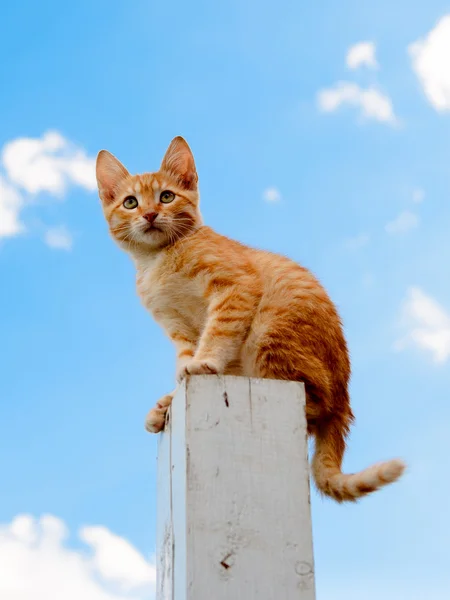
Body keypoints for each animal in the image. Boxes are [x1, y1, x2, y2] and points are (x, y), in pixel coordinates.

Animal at [96, 136, 406, 502]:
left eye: (167, 196)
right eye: (130, 203)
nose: (149, 214)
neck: (157, 260)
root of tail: (344, 401)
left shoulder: (235, 288)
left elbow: (217, 332)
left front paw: (204, 362)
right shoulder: (177, 326)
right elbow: (185, 357)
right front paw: (175, 391)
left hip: (270, 333)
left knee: (315, 406)